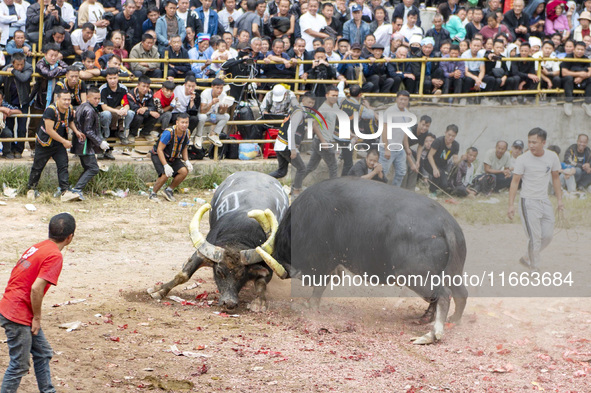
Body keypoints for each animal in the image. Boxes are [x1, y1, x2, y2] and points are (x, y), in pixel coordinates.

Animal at [149, 170, 290, 310]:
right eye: (219, 271)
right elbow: (183, 275)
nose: (229, 303)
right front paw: (158, 290)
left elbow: (261, 282)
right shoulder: (202, 252)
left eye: (242, 274)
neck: (238, 233)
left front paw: (258, 303)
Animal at [249, 178, 468, 344]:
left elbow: (319, 285)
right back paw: (446, 320)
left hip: (415, 276)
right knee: (459, 294)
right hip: (452, 273)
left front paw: (309, 305)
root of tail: (445, 224)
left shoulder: (324, 260)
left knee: (444, 295)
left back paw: (432, 334)